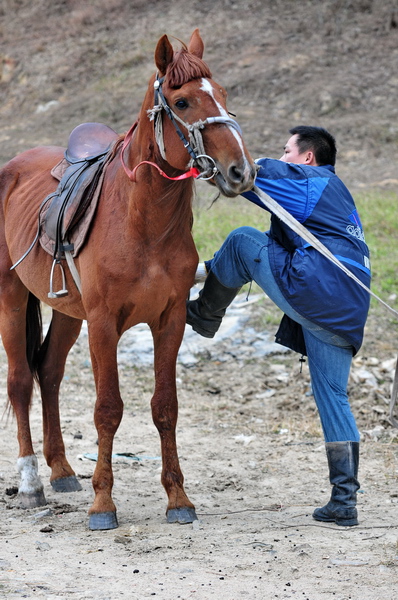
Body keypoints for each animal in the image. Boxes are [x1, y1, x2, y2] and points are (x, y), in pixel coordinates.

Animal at [0, 30, 255, 532]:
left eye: (224, 94)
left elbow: (165, 407)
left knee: (49, 373)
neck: (143, 222)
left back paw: (61, 471)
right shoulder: (103, 323)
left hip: (67, 312)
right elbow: (108, 410)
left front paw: (178, 498)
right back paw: (31, 484)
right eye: (181, 101)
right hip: (12, 295)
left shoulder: (169, 321)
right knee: (20, 381)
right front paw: (103, 504)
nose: (241, 171)